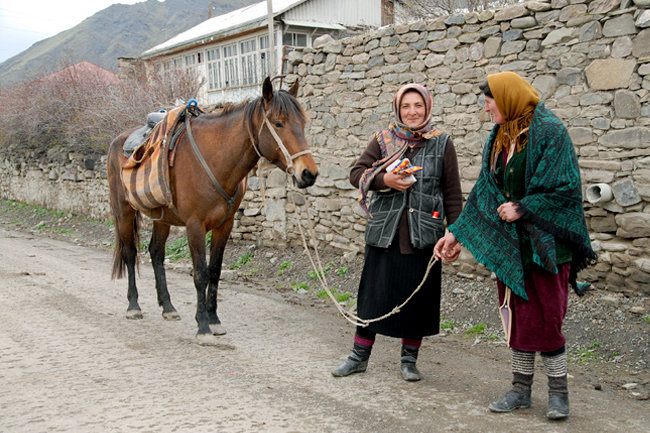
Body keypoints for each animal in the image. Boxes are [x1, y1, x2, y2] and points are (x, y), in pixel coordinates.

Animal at [106, 76, 316, 342]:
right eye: (278, 123)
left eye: (302, 123)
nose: (308, 173)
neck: (215, 160)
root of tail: (118, 140)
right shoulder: (195, 226)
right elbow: (200, 274)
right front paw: (203, 327)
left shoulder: (224, 225)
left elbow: (215, 271)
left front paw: (214, 319)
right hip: (124, 212)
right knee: (130, 253)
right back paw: (134, 306)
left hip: (162, 218)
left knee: (156, 253)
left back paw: (168, 307)